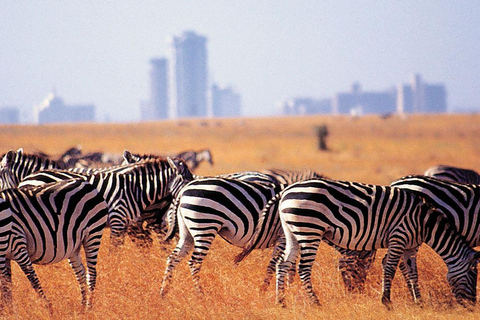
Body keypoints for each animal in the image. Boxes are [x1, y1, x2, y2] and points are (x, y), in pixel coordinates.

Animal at [0, 179, 109, 308]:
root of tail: (85, 183)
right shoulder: (6, 256)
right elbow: (7, 287)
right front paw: (9, 310)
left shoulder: (18, 245)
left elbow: (33, 280)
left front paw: (48, 308)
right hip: (74, 246)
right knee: (80, 274)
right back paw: (82, 308)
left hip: (93, 233)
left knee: (91, 273)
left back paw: (88, 308)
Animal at [16, 156, 194, 246]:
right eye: (187, 179)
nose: (192, 188)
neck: (135, 189)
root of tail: (25, 180)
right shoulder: (117, 221)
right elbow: (114, 252)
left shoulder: (125, 224)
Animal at [159, 169, 324, 296]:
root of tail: (184, 190)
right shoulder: (283, 237)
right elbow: (276, 265)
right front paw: (265, 291)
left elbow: (290, 266)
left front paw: (290, 289)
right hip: (205, 224)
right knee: (194, 262)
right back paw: (200, 295)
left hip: (187, 230)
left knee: (173, 257)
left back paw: (164, 292)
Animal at [238, 179, 480, 308]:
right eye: (472, 274)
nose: (471, 306)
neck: (425, 223)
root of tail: (286, 190)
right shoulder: (398, 236)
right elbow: (390, 268)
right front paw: (386, 302)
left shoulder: (410, 247)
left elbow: (412, 273)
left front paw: (418, 302)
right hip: (309, 229)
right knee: (303, 269)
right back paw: (316, 303)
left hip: (292, 232)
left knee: (283, 264)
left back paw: (281, 302)